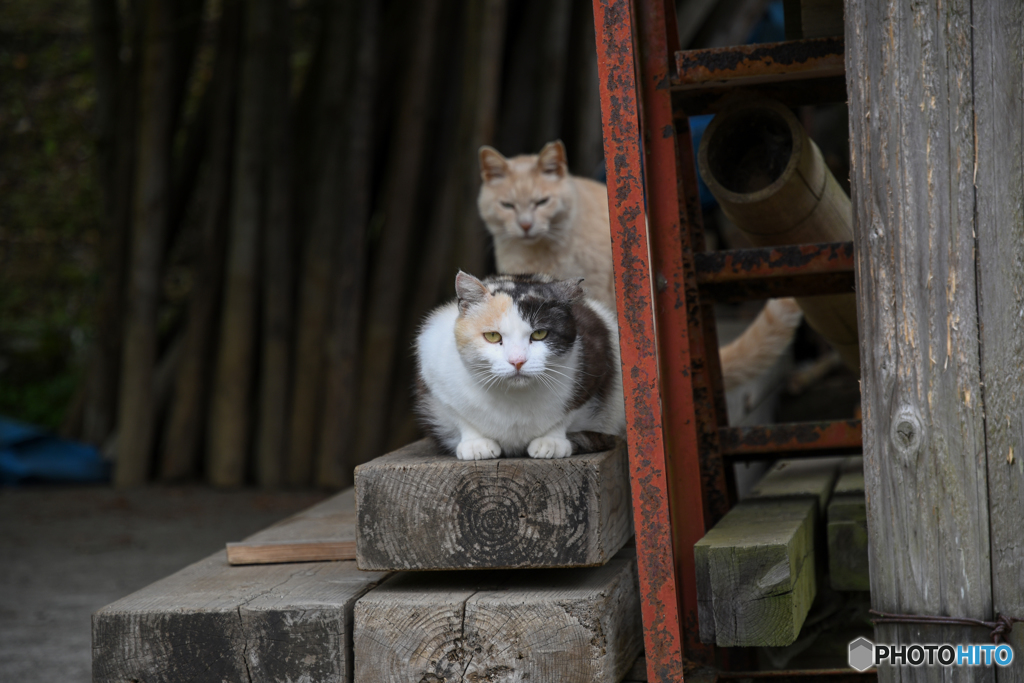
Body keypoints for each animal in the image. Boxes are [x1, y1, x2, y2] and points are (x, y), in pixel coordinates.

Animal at [413, 270, 622, 458]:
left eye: (539, 334)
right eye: (492, 336)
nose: (517, 361)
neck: (513, 398)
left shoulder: (595, 365)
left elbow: (567, 416)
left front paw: (552, 441)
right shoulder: (433, 369)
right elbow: (459, 416)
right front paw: (475, 443)